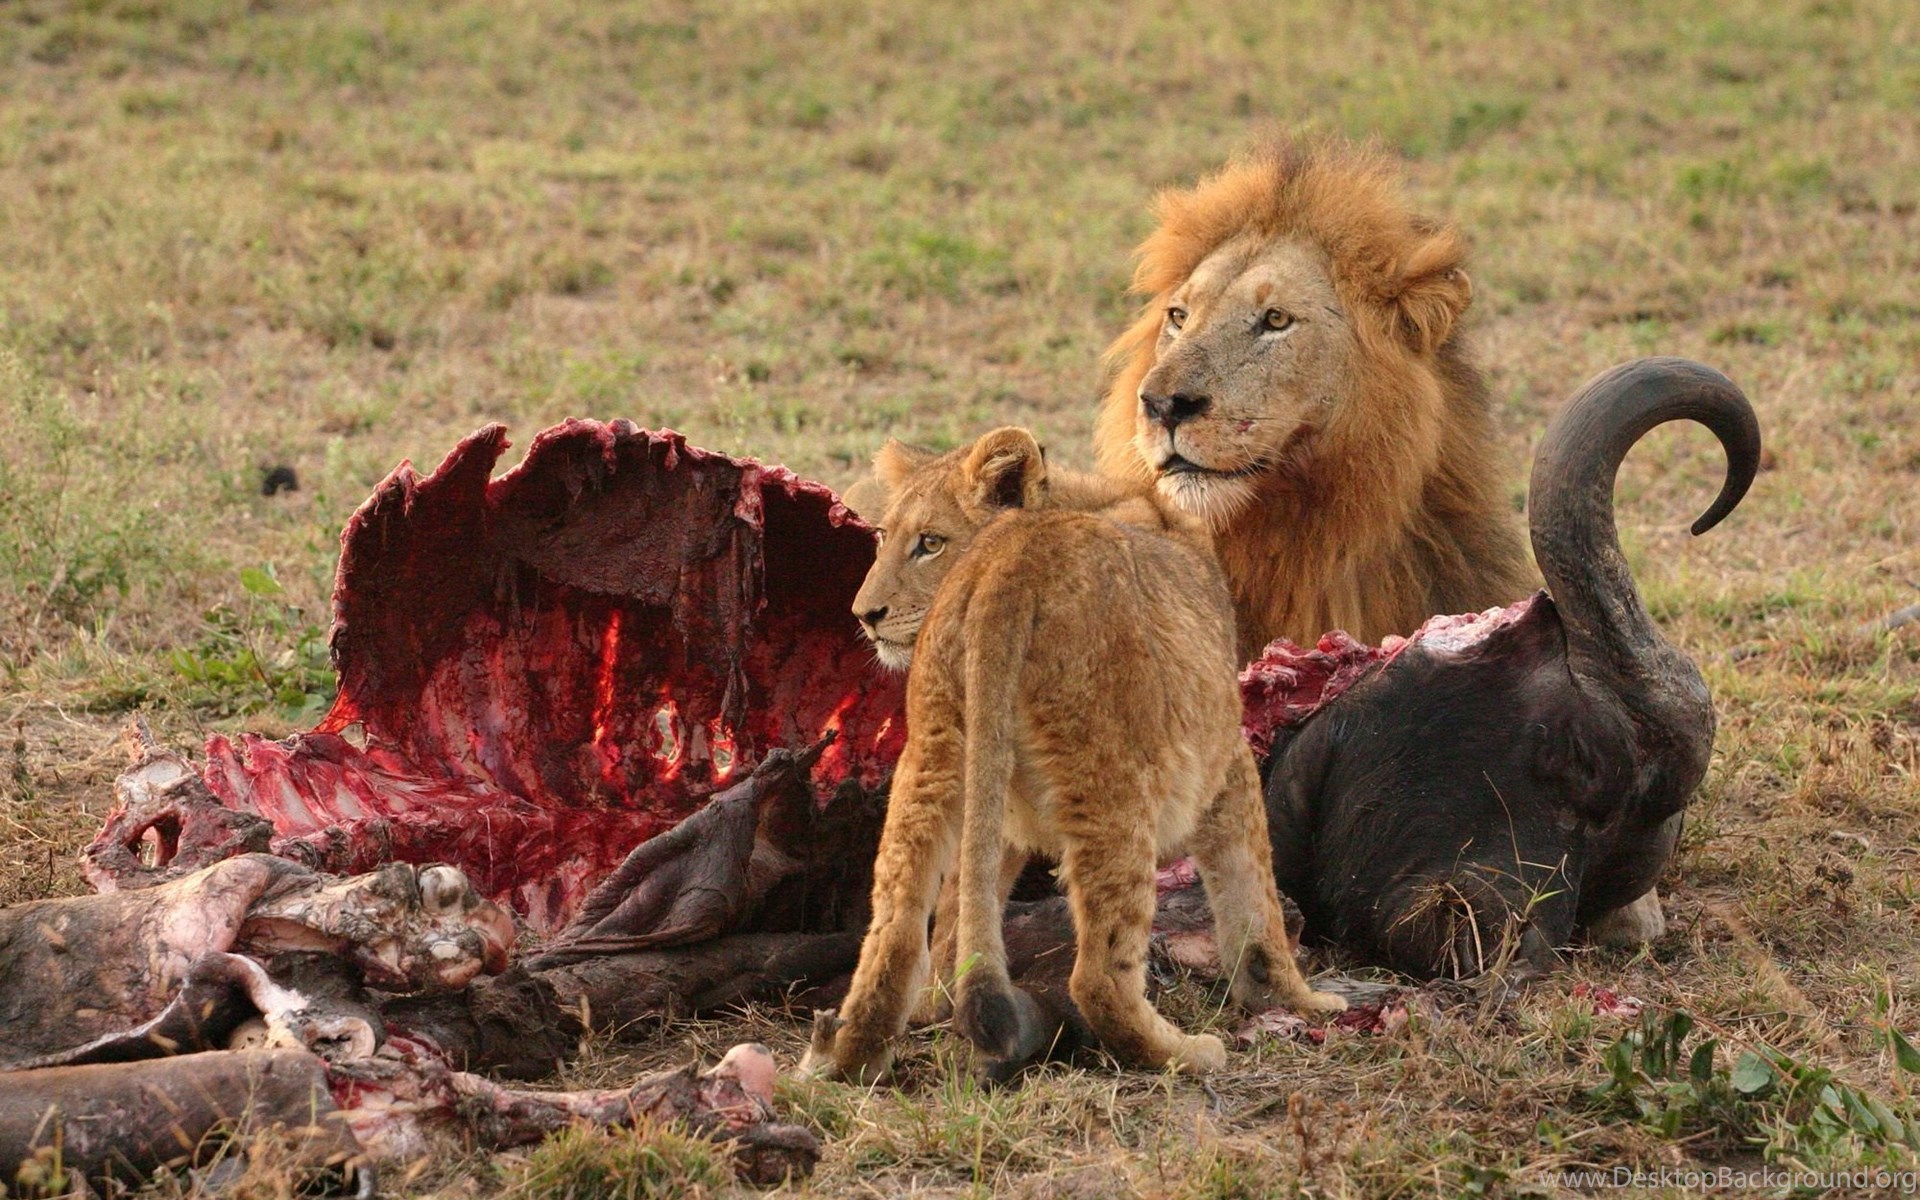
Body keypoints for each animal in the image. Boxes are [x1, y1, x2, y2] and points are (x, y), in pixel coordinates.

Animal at [799, 428, 1344, 1084]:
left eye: (927, 543)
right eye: (885, 537)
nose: (864, 615)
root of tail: (1009, 564)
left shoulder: (1000, 807)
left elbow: (962, 908)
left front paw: (939, 1001)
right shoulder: (1225, 758)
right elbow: (1254, 898)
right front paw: (1297, 999)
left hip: (933, 757)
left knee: (895, 932)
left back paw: (854, 1055)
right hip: (1113, 780)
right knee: (1100, 977)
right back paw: (1183, 1053)